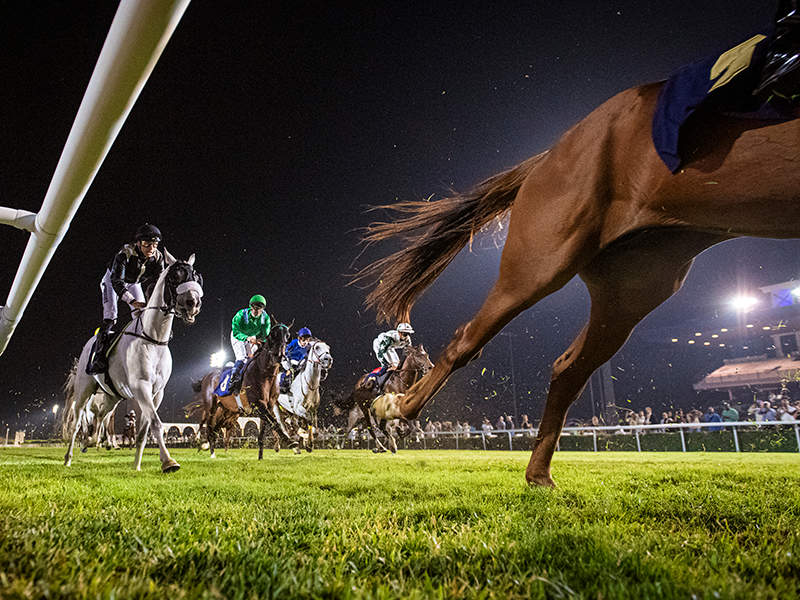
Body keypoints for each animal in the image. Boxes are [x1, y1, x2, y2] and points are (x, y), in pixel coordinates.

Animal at [63, 253, 203, 472]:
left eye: (196, 277)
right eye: (175, 276)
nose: (194, 303)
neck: (153, 339)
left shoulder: (156, 393)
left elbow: (143, 432)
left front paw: (137, 465)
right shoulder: (140, 387)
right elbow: (156, 423)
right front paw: (168, 461)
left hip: (112, 396)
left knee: (101, 416)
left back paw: (92, 442)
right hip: (83, 390)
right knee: (77, 422)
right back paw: (69, 457)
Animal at [353, 71, 800, 487]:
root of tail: (547, 157)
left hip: (636, 282)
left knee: (570, 368)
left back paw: (537, 473)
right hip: (542, 261)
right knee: (468, 342)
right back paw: (398, 407)